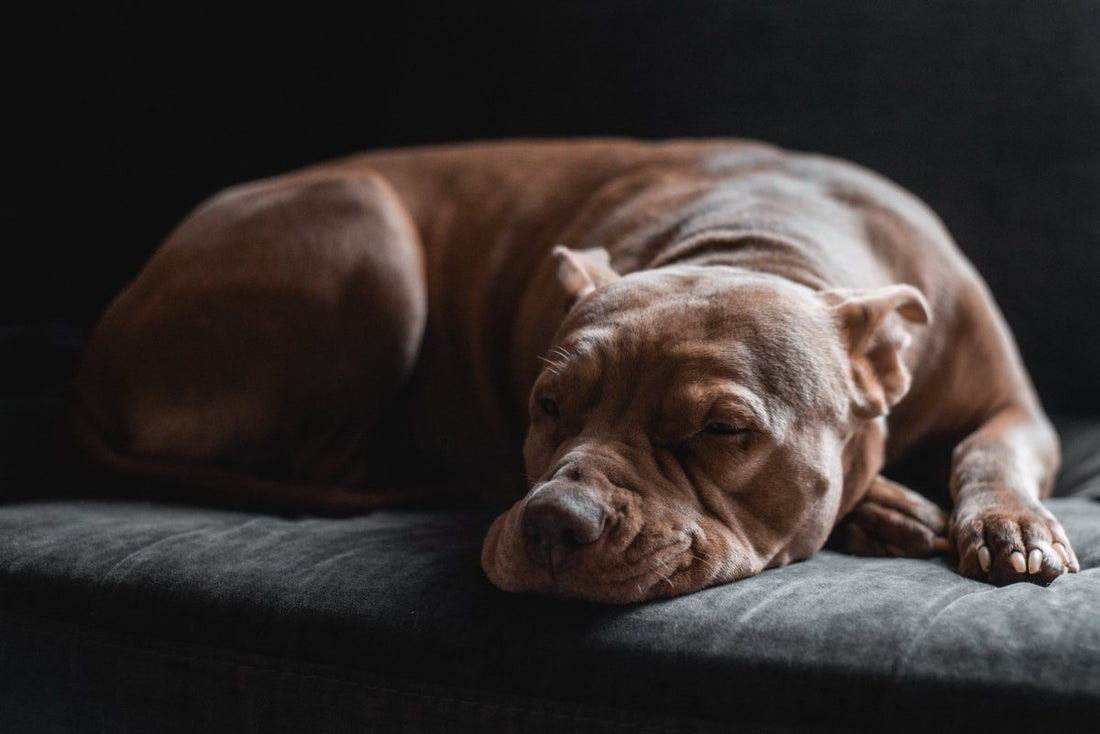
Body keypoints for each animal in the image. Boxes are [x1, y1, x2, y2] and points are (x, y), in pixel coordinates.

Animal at [73, 137, 1078, 603]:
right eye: (548, 406)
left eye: (724, 429)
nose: (551, 522)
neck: (760, 238)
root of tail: (97, 358)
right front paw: (881, 508)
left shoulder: (1016, 408)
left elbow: (988, 453)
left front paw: (1009, 527)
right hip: (366, 230)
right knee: (332, 461)